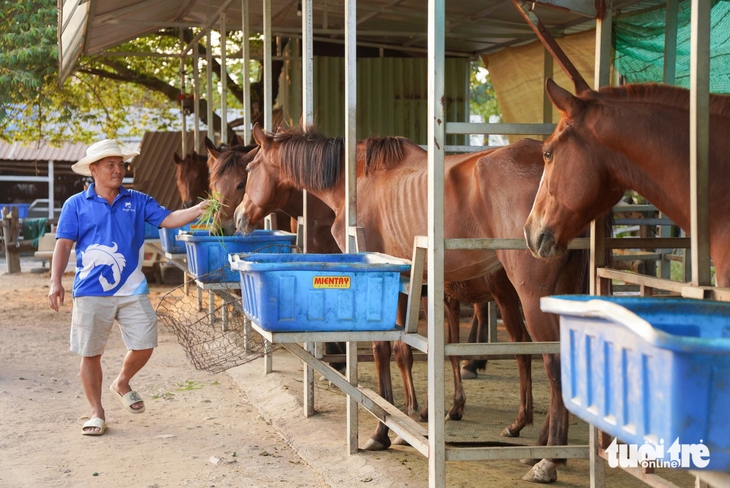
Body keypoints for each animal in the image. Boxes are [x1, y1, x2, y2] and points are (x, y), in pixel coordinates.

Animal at [233, 124, 584, 482]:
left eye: (249, 170)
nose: (239, 217)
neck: (355, 179)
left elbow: (383, 350)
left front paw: (386, 430)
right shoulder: (405, 283)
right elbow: (403, 351)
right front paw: (406, 421)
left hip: (527, 295)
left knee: (552, 362)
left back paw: (548, 459)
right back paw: (541, 446)